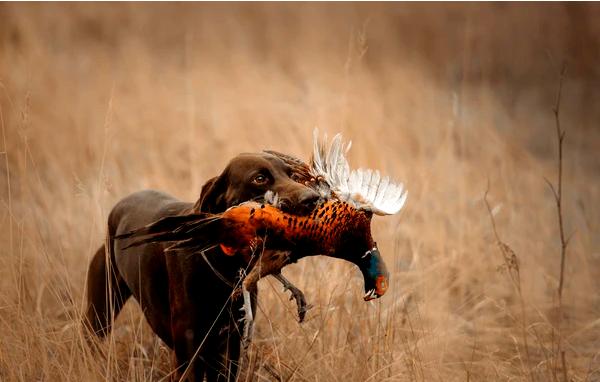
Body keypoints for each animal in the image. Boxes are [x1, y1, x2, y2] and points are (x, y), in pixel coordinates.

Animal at [84, 152, 322, 382]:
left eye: (292, 175)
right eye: (259, 178)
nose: (313, 199)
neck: (224, 267)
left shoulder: (229, 350)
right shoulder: (189, 353)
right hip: (99, 314)